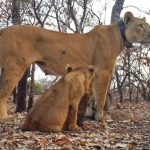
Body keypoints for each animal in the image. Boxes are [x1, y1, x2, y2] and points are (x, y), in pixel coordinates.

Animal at [0, 11, 150, 120]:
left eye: (147, 25)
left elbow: (92, 97)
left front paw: (90, 115)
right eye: (140, 25)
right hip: (14, 67)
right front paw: (100, 118)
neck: (120, 36)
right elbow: (101, 96)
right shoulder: (103, 72)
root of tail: (4, 29)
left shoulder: (94, 73)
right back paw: (4, 119)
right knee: (2, 95)